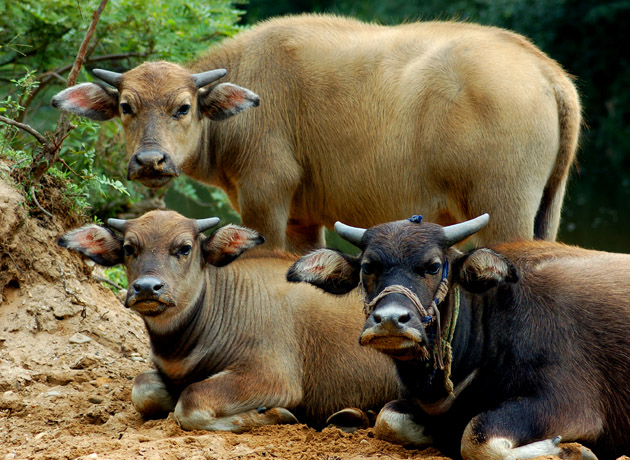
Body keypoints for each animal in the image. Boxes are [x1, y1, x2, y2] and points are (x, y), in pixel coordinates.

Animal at [53, 14, 584, 252]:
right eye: (126, 107)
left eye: (183, 108)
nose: (150, 162)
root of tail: (545, 69)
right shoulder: (303, 219)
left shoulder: (265, 196)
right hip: (547, 210)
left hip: (505, 210)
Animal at [55, 210, 400, 434]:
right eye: (129, 248)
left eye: (185, 248)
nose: (148, 288)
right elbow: (143, 388)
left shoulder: (272, 377)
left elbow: (190, 403)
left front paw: (273, 415)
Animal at [288, 214, 630, 458]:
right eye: (369, 267)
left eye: (434, 266)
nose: (390, 320)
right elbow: (387, 419)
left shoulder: (570, 401)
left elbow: (476, 438)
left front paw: (569, 451)